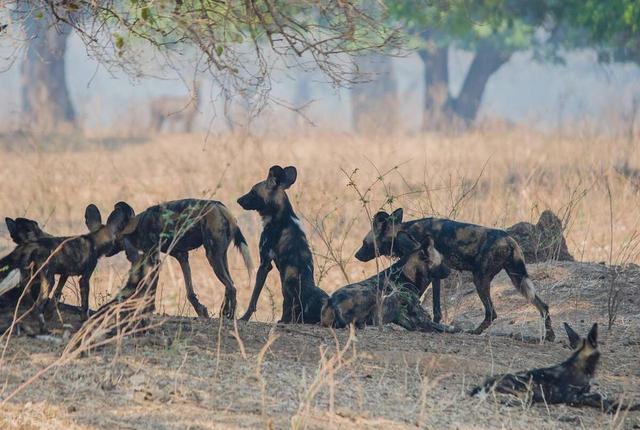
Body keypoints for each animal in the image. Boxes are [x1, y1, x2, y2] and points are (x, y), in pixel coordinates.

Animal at [0, 202, 131, 330]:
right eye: (117, 240)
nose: (116, 249)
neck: (93, 240)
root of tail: (32, 245)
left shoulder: (65, 274)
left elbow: (56, 295)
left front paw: (50, 314)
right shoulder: (84, 278)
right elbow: (85, 305)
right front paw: (85, 319)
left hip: (31, 279)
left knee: (27, 300)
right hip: (48, 280)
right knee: (37, 306)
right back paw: (44, 329)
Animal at [239, 165, 330, 322]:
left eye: (252, 192)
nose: (238, 200)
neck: (282, 214)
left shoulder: (264, 264)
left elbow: (253, 299)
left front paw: (244, 317)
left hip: (286, 285)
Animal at [320, 232, 456, 332]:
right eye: (442, 261)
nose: (449, 271)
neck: (407, 276)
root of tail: (332, 302)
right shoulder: (420, 319)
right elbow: (447, 327)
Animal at [470, 322, 640, 414]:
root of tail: (485, 382)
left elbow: (612, 399)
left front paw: (628, 407)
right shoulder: (572, 397)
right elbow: (599, 396)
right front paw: (610, 409)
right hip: (527, 390)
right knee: (525, 401)